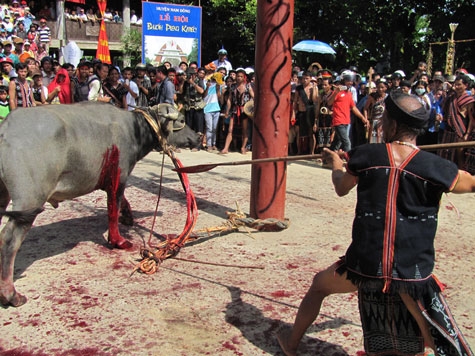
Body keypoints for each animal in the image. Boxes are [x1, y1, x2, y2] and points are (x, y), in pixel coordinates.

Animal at [0, 101, 200, 306]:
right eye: (182, 120)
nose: (197, 138)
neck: (134, 129)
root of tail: (6, 129)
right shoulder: (118, 176)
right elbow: (113, 207)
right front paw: (118, 240)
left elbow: (122, 201)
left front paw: (128, 217)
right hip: (29, 201)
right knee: (8, 240)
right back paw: (11, 295)